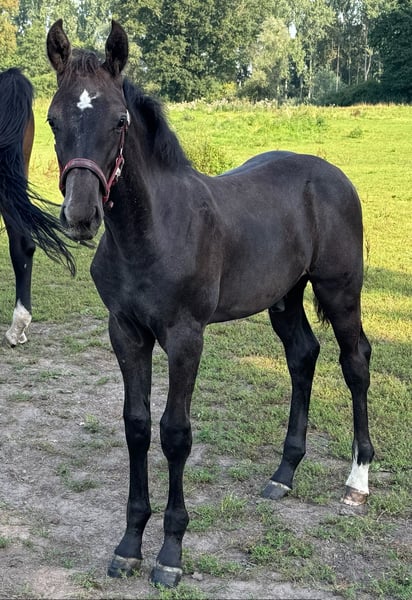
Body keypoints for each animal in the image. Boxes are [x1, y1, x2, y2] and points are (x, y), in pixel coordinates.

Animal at [47, 19, 374, 588]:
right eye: (51, 119)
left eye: (119, 121)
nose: (82, 215)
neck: (150, 232)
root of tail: (334, 175)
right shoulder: (125, 332)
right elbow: (136, 426)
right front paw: (129, 545)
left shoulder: (184, 336)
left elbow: (174, 433)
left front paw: (170, 554)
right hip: (284, 296)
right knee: (302, 356)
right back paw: (283, 474)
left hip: (339, 290)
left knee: (354, 361)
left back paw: (358, 482)